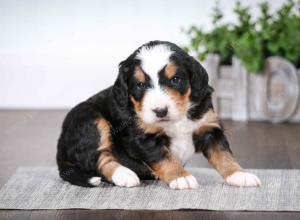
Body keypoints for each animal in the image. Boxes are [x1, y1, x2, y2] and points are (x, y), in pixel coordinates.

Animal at [56, 40, 260, 189]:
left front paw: (239, 174)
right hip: (90, 118)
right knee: (97, 158)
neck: (178, 118)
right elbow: (164, 157)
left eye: (175, 79)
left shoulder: (209, 127)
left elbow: (223, 154)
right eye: (139, 85)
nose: (160, 111)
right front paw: (181, 177)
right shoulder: (144, 138)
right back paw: (125, 174)